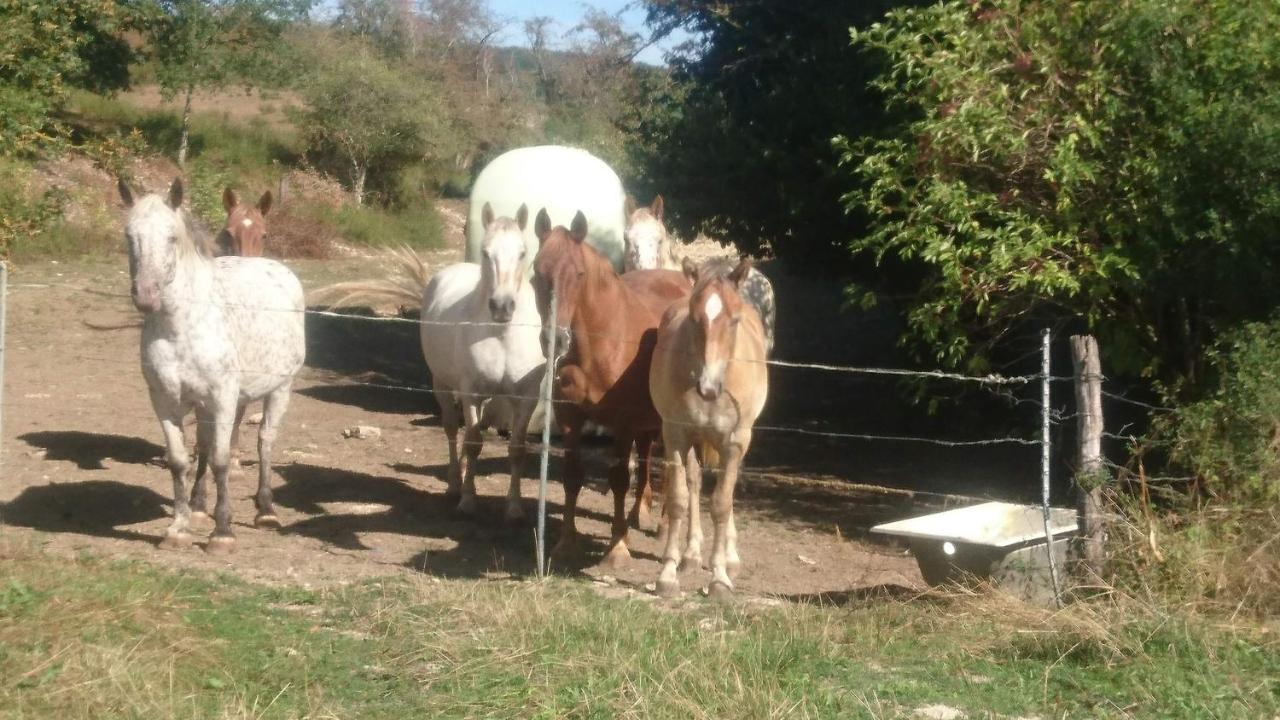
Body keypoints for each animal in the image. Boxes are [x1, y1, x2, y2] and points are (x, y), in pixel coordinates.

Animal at [118, 178, 307, 548]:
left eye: (171, 237)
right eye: (129, 235)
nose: (146, 296)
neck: (181, 327)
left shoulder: (223, 398)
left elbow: (222, 460)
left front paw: (222, 532)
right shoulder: (165, 401)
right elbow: (181, 460)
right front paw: (179, 527)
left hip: (280, 388)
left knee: (265, 441)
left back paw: (266, 510)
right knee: (205, 445)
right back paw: (199, 505)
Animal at [320, 202, 545, 520]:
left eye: (522, 252)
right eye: (486, 252)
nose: (502, 307)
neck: (502, 335)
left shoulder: (526, 397)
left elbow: (516, 448)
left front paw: (513, 508)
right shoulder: (471, 393)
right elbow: (473, 443)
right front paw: (468, 500)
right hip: (443, 385)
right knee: (453, 429)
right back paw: (454, 484)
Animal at [529, 206, 691, 566]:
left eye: (578, 274)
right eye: (535, 273)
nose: (555, 340)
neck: (600, 344)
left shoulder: (623, 423)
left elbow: (618, 479)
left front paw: (617, 548)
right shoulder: (570, 418)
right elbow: (573, 475)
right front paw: (566, 543)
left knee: (671, 469)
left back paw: (662, 527)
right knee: (645, 459)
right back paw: (637, 515)